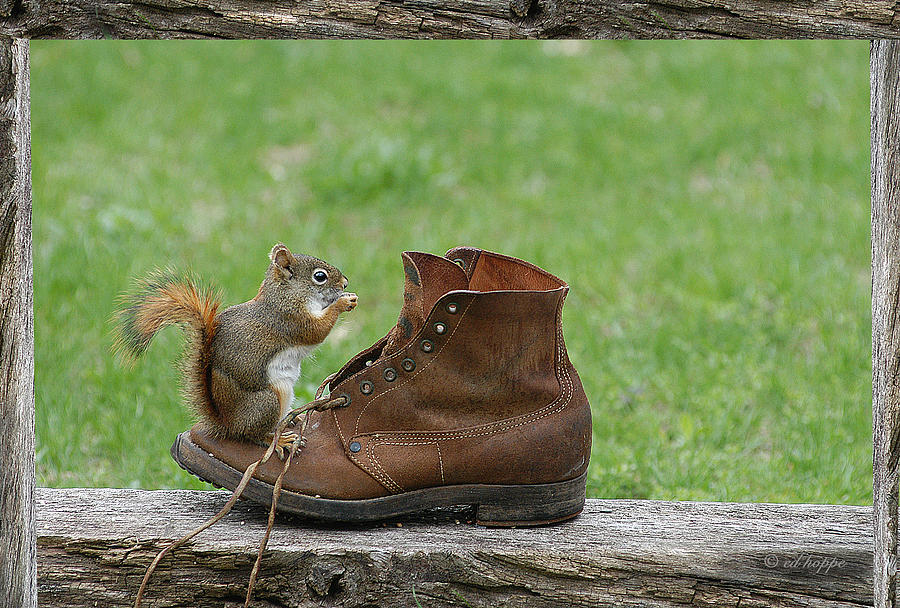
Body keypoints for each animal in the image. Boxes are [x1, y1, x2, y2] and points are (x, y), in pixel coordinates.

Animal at [110, 243, 356, 452]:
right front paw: (343, 302)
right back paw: (279, 441)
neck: (284, 295)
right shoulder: (290, 319)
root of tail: (228, 424)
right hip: (266, 402)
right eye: (320, 276)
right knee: (253, 435)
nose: (345, 283)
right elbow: (317, 330)